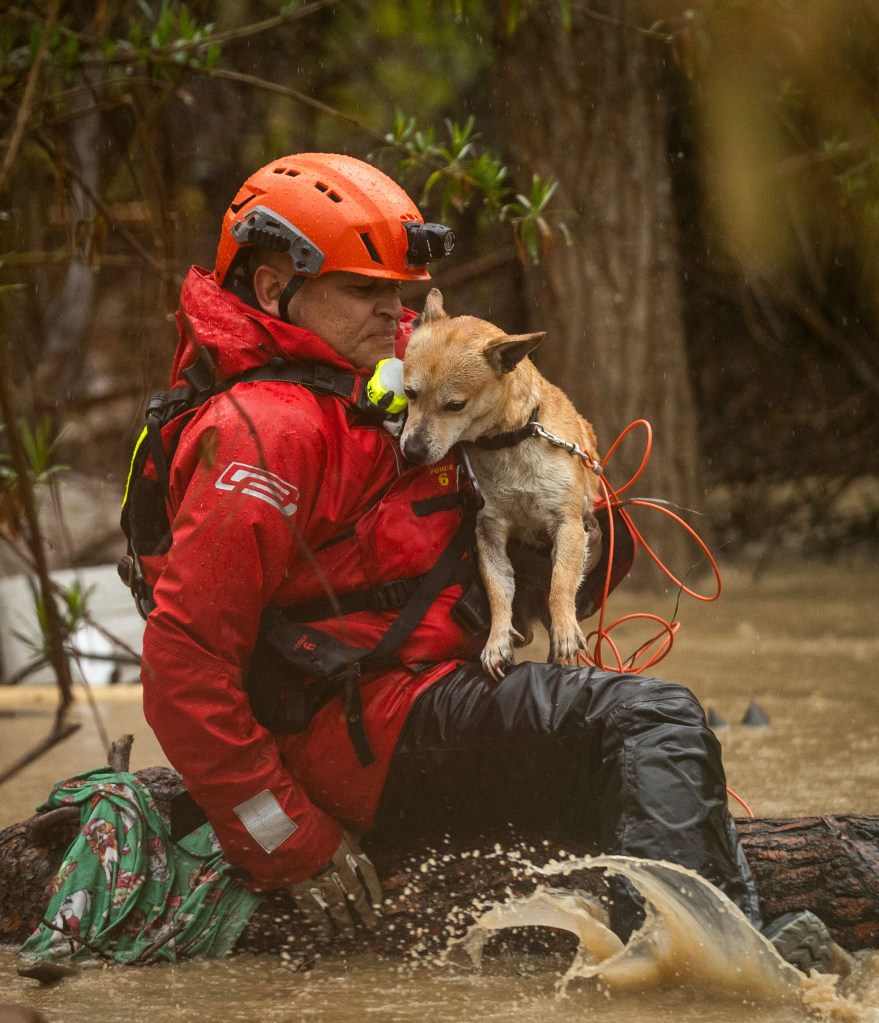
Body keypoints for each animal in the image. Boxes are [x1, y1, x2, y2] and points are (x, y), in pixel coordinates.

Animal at [401, 290, 601, 679]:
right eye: (409, 393)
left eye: (455, 405)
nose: (412, 450)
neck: (507, 443)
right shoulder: (488, 530)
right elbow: (497, 591)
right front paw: (496, 641)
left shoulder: (569, 525)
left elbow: (560, 583)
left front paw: (565, 630)